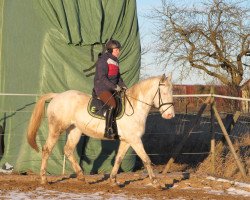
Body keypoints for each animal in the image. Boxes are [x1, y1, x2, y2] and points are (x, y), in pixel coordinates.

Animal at [25, 73, 174, 188]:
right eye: (164, 93)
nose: (170, 115)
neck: (134, 107)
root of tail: (57, 96)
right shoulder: (135, 140)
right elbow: (146, 159)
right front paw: (156, 183)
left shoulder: (127, 140)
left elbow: (119, 159)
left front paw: (113, 181)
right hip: (56, 129)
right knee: (47, 150)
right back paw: (44, 179)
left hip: (75, 130)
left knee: (68, 150)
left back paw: (81, 177)